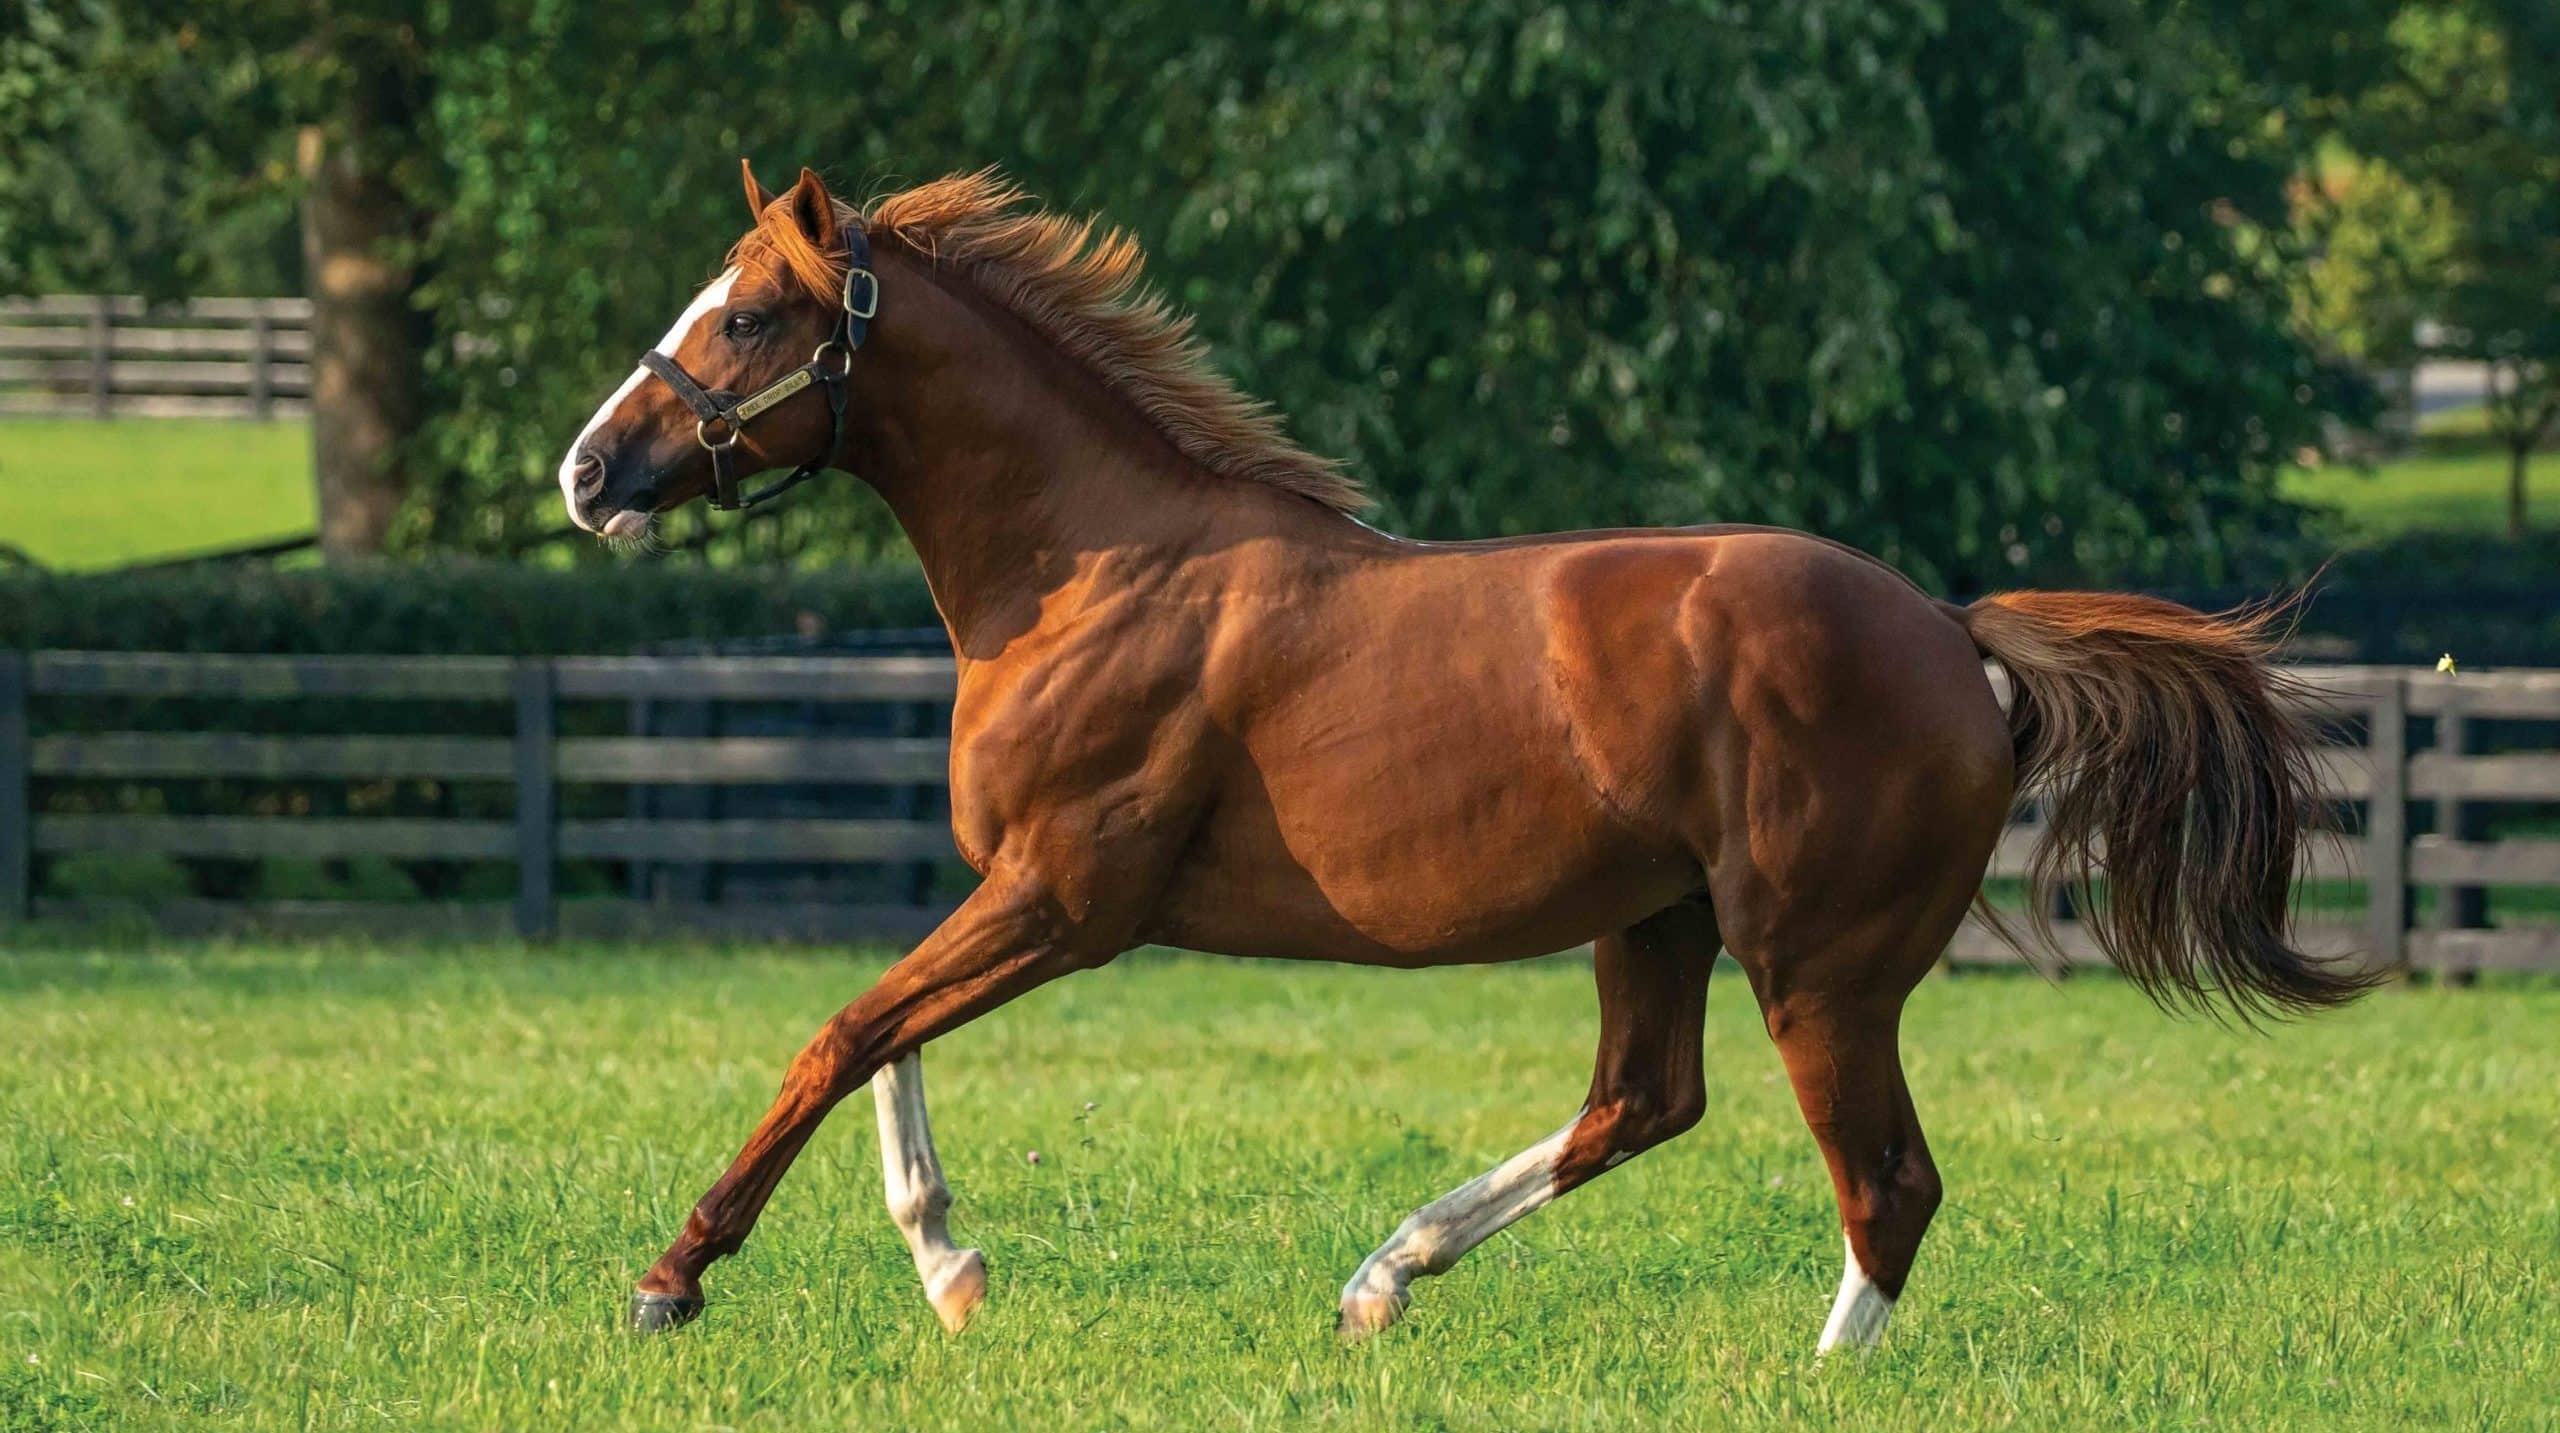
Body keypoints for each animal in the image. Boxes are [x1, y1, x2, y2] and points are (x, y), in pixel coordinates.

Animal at [555, 162, 2374, 1349]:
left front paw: (674, 1277)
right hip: (1662, 920)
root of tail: (1954, 631)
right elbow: (884, 1036)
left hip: (1820, 965)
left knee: (1887, 1187)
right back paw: (1382, 1278)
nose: (586, 471)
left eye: (754, 313)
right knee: (1646, 1100)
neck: (1091, 570)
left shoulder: (1068, 896)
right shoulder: (1020, 892)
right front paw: (952, 1269)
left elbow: (839, 1033)